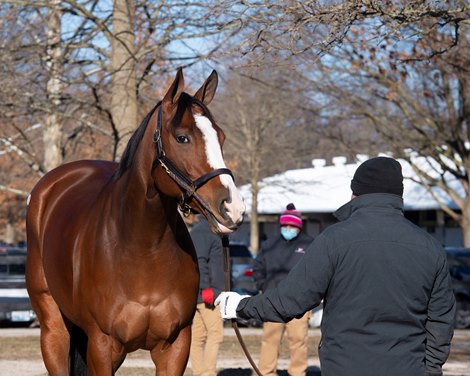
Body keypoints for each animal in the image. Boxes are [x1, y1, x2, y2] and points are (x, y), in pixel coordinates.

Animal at [24, 68, 246, 376]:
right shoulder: (102, 346)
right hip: (53, 329)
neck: (143, 250)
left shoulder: (175, 346)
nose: (232, 207)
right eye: (182, 138)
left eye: (221, 137)